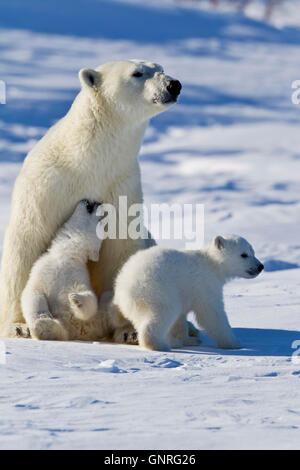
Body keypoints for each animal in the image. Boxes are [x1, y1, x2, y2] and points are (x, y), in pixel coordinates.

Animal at [21, 199, 123, 342]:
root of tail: (81, 332)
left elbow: (89, 297)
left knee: (108, 302)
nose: (96, 203)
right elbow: (33, 293)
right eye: (101, 222)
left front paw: (76, 299)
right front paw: (42, 317)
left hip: (98, 317)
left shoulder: (78, 274)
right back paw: (44, 327)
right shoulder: (42, 269)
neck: (66, 257)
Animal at [113, 234, 264, 348]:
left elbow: (180, 319)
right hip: (158, 290)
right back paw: (159, 345)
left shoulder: (185, 291)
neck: (212, 265)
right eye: (243, 254)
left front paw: (189, 340)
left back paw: (172, 342)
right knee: (162, 313)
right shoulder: (205, 285)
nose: (260, 266)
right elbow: (212, 314)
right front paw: (234, 342)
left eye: (253, 252)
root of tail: (125, 284)